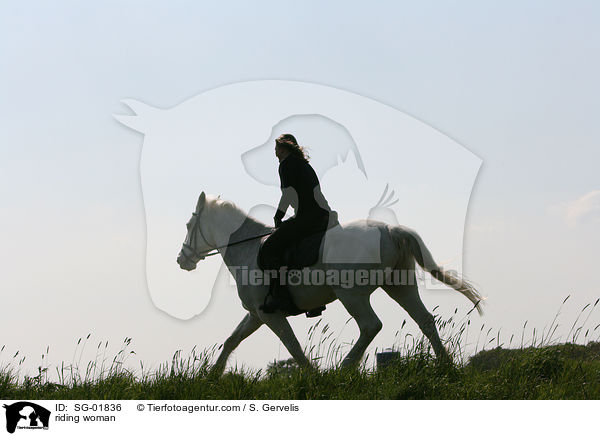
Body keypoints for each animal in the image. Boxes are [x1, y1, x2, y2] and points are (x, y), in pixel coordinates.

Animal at [176, 192, 480, 372]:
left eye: (189, 226)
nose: (182, 260)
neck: (249, 248)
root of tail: (389, 230)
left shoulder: (269, 314)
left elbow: (293, 346)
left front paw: (314, 378)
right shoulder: (256, 314)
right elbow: (231, 341)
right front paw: (211, 377)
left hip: (351, 295)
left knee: (371, 326)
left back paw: (344, 369)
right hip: (399, 287)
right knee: (425, 320)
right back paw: (447, 367)